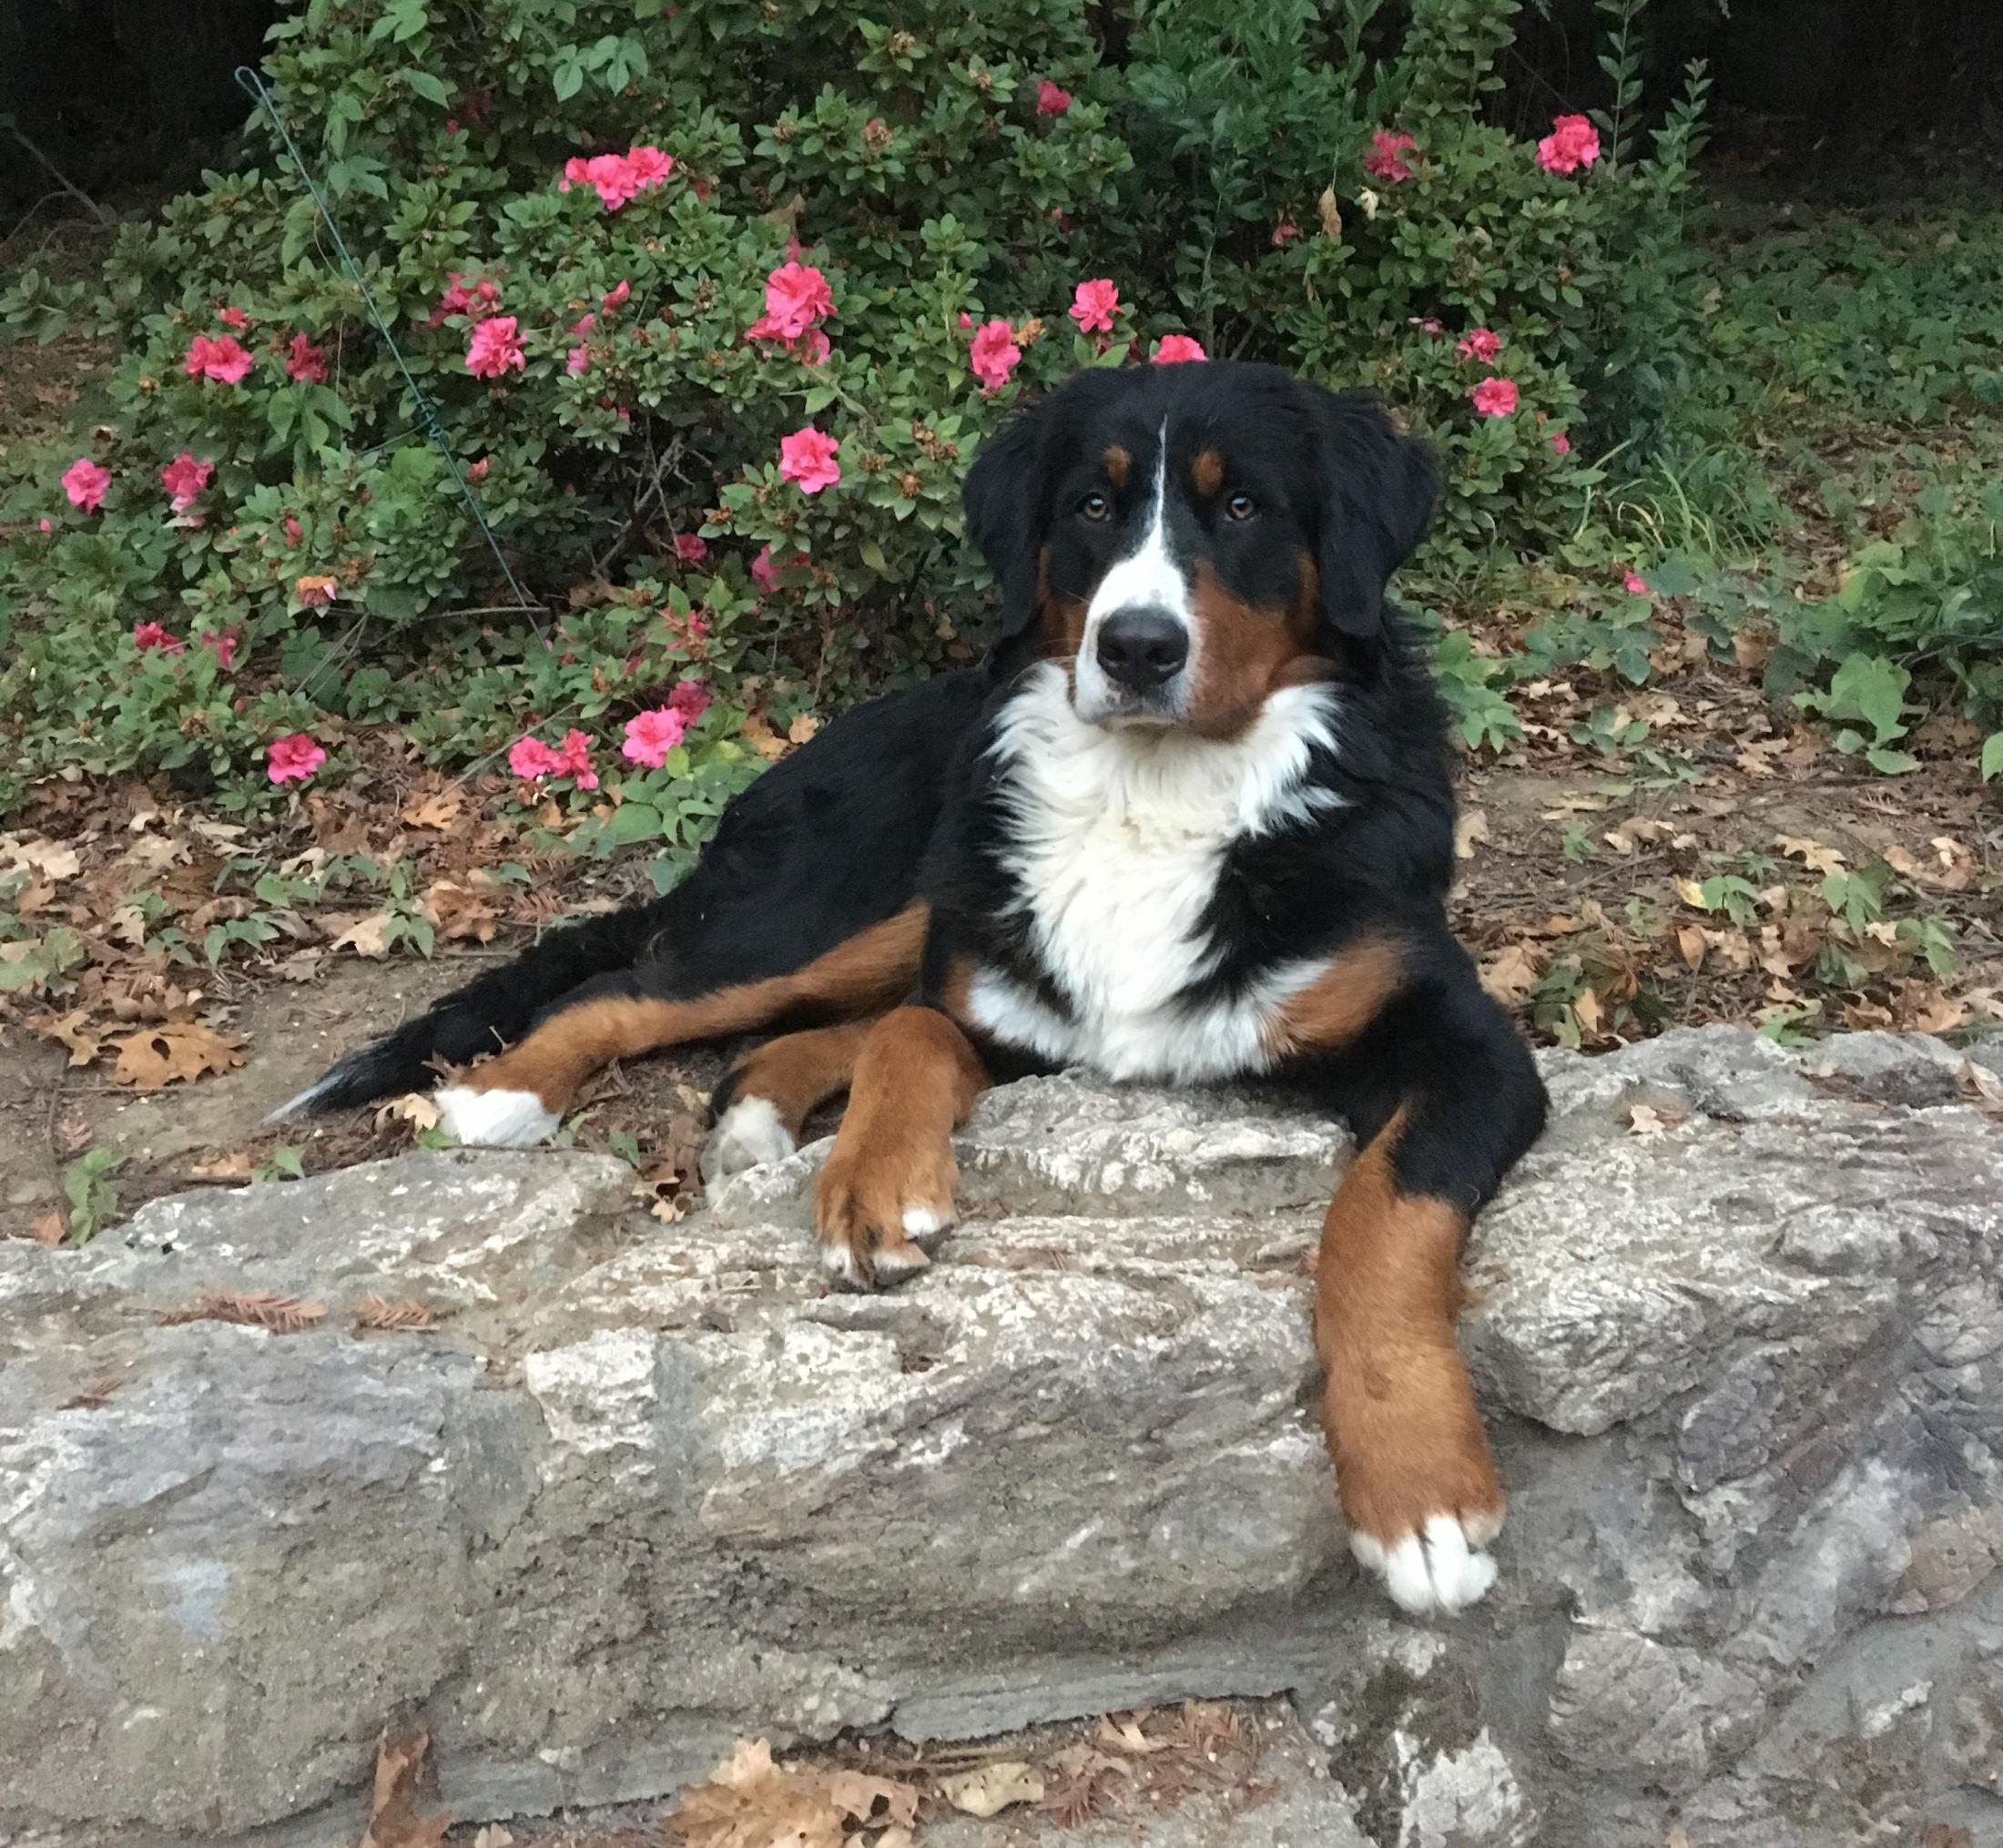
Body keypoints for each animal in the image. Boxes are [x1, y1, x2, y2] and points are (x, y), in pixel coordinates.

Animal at [274, 364, 1538, 1618]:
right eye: (1092, 506)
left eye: (1241, 508)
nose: (1135, 646)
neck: (1159, 796)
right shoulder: (998, 995)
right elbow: (912, 1038)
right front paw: (874, 1183)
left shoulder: (1462, 1045)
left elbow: (1378, 1221)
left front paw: (1418, 1490)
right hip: (863, 899)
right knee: (640, 990)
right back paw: (507, 1090)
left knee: (798, 1026)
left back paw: (753, 1114)